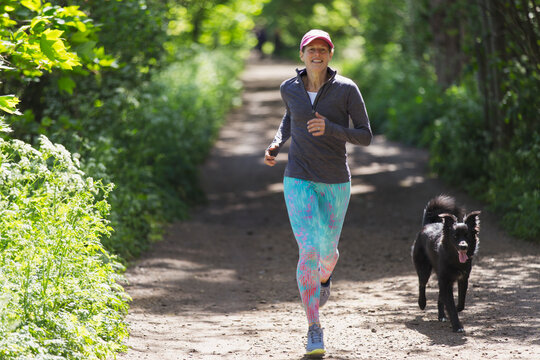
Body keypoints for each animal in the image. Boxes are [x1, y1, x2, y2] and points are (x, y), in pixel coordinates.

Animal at [414, 195, 480, 334]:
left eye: (467, 236)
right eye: (455, 236)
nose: (463, 246)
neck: (454, 260)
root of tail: (428, 224)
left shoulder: (462, 279)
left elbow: (460, 302)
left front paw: (452, 310)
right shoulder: (445, 280)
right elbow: (450, 304)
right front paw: (457, 326)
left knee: (440, 296)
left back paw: (442, 316)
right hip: (424, 269)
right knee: (422, 284)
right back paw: (422, 303)